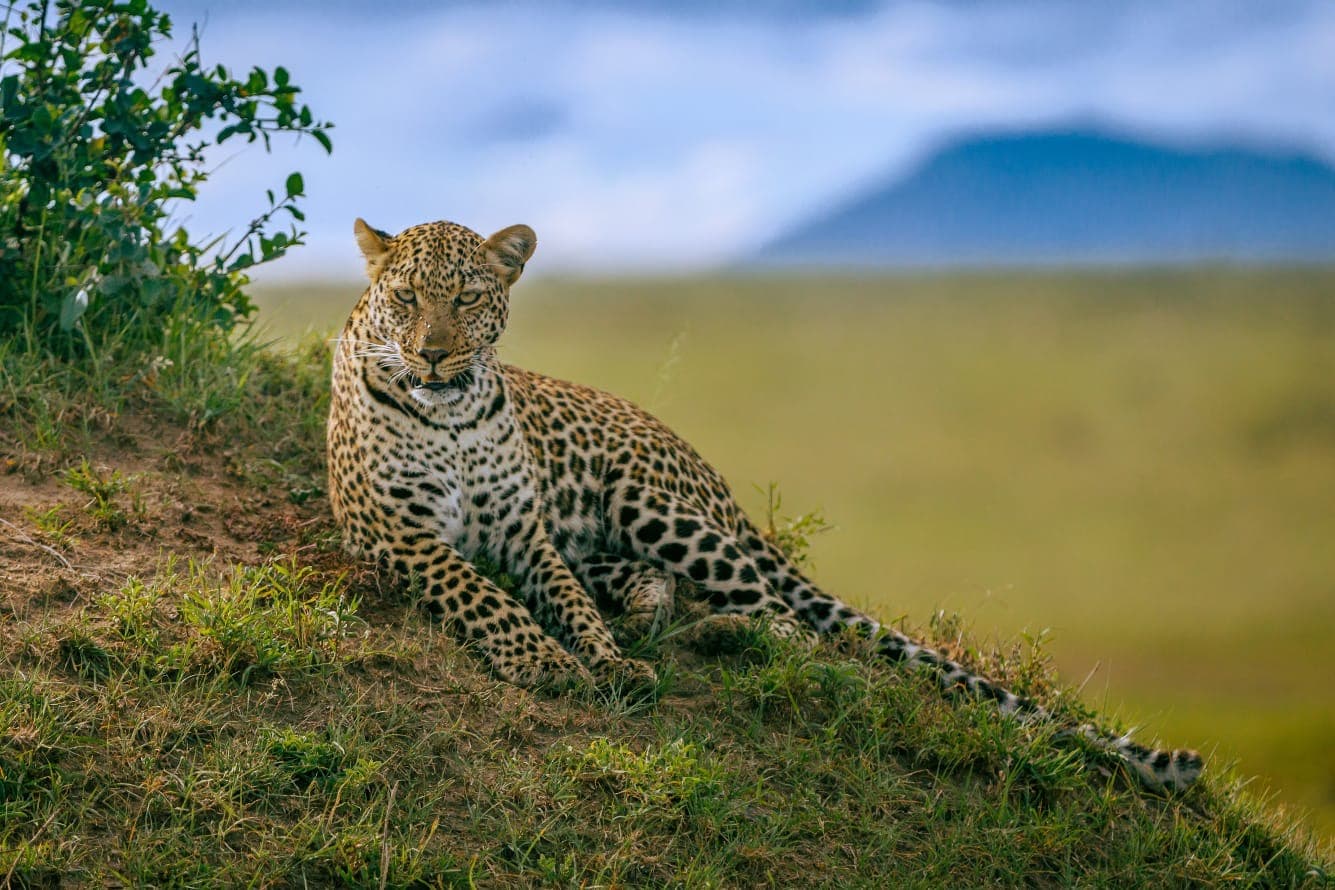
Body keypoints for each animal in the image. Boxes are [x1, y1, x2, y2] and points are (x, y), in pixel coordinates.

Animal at [327, 216, 1204, 791]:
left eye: (468, 299)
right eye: (405, 299)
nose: (432, 354)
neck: (453, 414)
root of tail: (700, 462)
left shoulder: (526, 535)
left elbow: (564, 601)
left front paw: (600, 658)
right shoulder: (398, 531)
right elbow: (484, 594)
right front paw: (547, 658)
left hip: (650, 502)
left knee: (790, 628)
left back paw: (707, 634)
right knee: (680, 593)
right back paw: (657, 618)